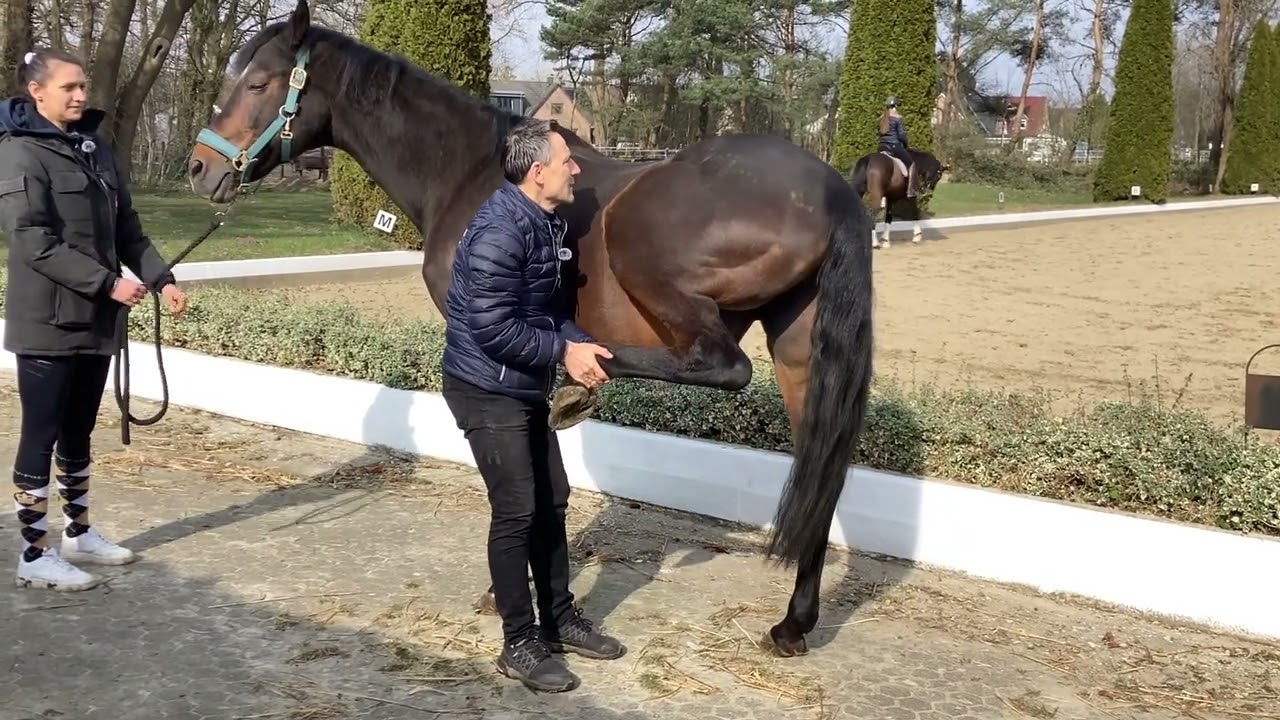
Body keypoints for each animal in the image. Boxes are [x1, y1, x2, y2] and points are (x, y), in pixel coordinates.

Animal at [185, 0, 875, 660]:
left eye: (259, 81)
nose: (198, 168)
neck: (472, 171)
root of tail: (833, 189)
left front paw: (504, 590)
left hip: (648, 261)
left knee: (722, 365)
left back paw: (583, 380)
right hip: (800, 357)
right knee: (821, 473)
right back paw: (793, 623)